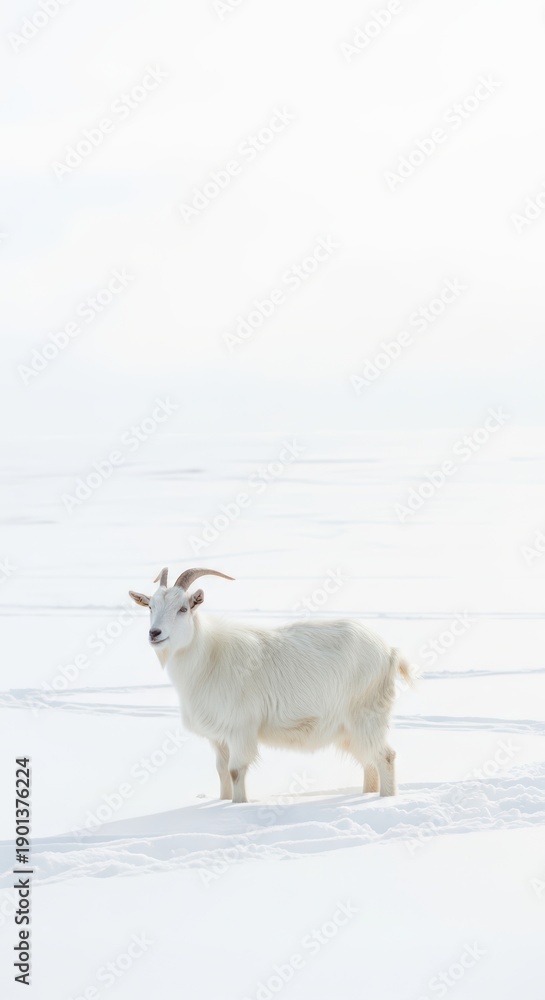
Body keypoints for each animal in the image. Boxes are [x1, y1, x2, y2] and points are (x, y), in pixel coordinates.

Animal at [129, 567, 412, 803]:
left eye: (183, 608)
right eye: (150, 606)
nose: (155, 633)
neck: (208, 657)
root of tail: (389, 651)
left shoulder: (240, 729)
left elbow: (235, 771)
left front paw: (238, 806)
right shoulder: (218, 736)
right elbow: (221, 772)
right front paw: (222, 803)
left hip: (366, 716)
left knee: (386, 756)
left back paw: (385, 800)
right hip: (347, 729)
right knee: (368, 761)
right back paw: (368, 794)